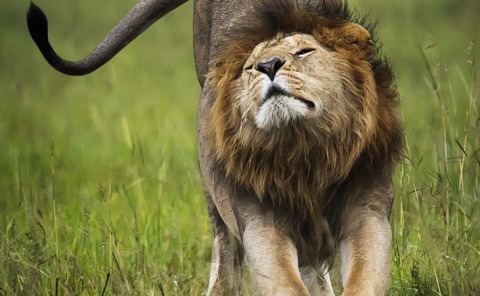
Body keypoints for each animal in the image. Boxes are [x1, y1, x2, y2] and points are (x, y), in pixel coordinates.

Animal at [26, 0, 402, 294]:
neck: (304, 152)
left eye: (304, 51)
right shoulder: (260, 222)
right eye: (250, 66)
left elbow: (364, 278)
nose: (268, 66)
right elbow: (284, 281)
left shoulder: (367, 212)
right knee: (225, 258)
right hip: (213, 188)